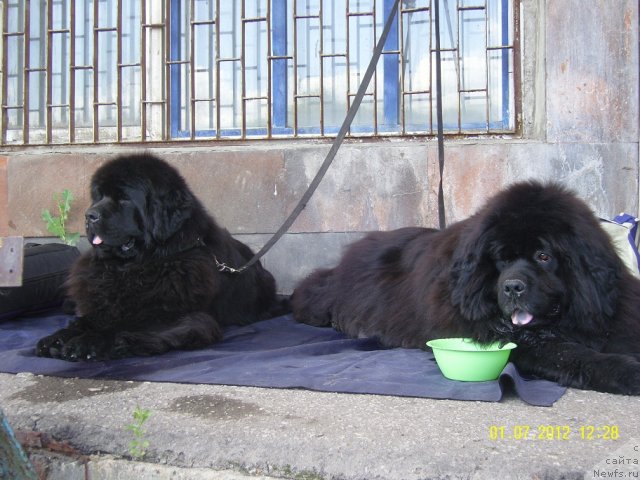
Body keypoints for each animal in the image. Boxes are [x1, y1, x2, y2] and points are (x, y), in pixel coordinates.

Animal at [35, 154, 282, 360]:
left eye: (124, 199)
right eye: (99, 196)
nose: (89, 215)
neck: (135, 266)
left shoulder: (176, 316)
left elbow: (125, 324)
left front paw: (85, 343)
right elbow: (87, 320)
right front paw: (58, 337)